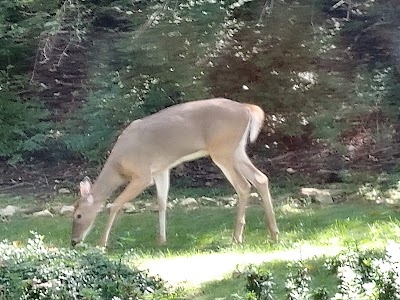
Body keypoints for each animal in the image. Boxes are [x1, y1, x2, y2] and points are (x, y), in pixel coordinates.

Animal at [71, 97, 278, 247]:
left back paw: (237, 237)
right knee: (260, 178)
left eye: (78, 215)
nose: (73, 241)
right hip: (236, 150)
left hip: (223, 149)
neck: (118, 166)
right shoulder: (161, 170)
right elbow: (162, 203)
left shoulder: (143, 174)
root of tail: (246, 109)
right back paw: (274, 234)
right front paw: (162, 240)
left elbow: (115, 204)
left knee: (243, 185)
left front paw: (102, 243)